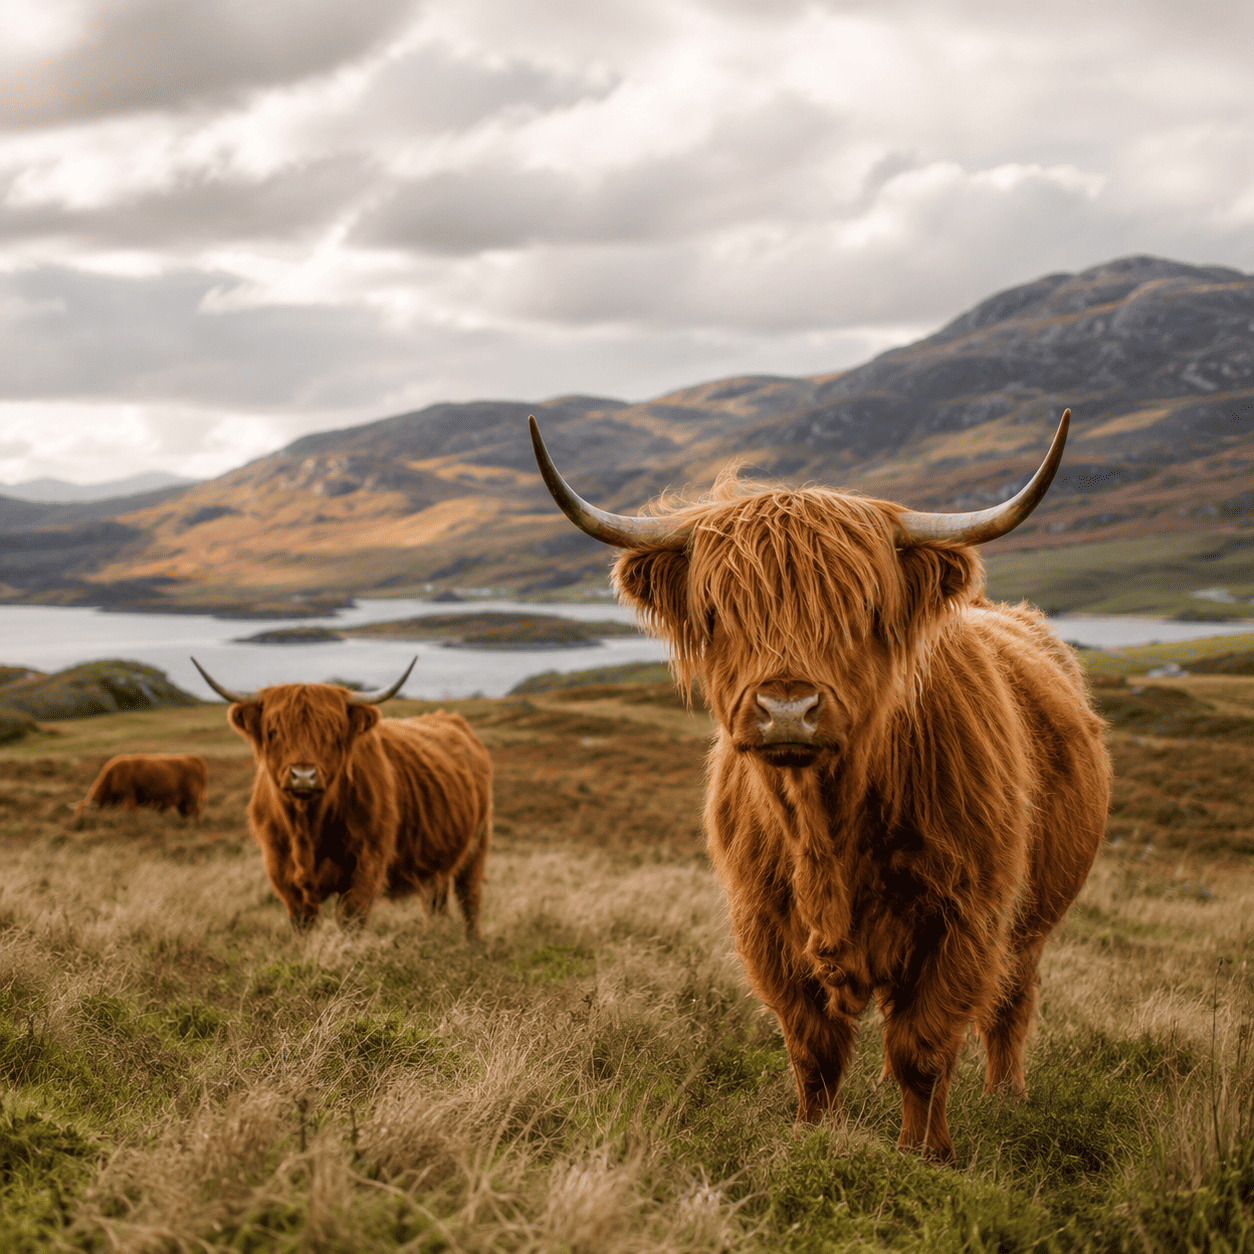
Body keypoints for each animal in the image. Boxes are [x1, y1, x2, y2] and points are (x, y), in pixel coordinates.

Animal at [75, 753, 208, 820]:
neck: (112, 776)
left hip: (193, 796)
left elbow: (132, 813)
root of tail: (194, 758)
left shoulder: (129, 798)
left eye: (85, 814)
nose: (77, 823)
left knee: (196, 811)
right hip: (182, 801)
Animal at [191, 659, 492, 939]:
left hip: (477, 843)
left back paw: (472, 944)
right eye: (273, 731)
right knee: (435, 900)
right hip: (435, 860)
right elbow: (302, 923)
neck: (306, 828)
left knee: (469, 897)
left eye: (333, 732)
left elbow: (350, 920)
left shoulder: (367, 863)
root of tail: (450, 719)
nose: (303, 775)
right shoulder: (280, 868)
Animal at [528, 409, 1110, 1163]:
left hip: (1032, 919)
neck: (825, 826)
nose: (786, 708)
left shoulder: (963, 920)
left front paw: (925, 1156)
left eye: (862, 608)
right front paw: (811, 1138)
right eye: (718, 610)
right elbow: (814, 1050)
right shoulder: (766, 926)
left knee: (1012, 1004)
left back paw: (1007, 1098)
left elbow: (922, 1050)